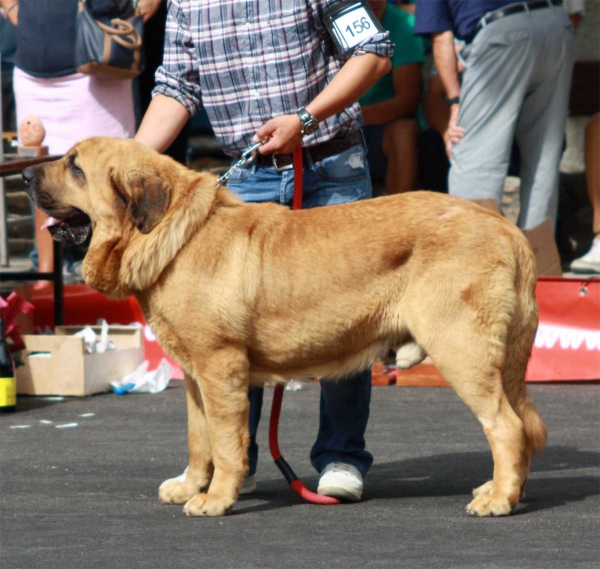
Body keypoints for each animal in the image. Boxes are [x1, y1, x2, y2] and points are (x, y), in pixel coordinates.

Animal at [23, 136, 548, 516]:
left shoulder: (221, 368)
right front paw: (190, 486)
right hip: (497, 361)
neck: (172, 236)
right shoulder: (195, 377)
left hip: (461, 351)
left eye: (74, 167)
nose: (25, 173)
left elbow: (227, 443)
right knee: (520, 426)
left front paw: (215, 500)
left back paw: (498, 501)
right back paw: (505, 489)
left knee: (505, 426)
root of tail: (506, 227)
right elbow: (199, 440)